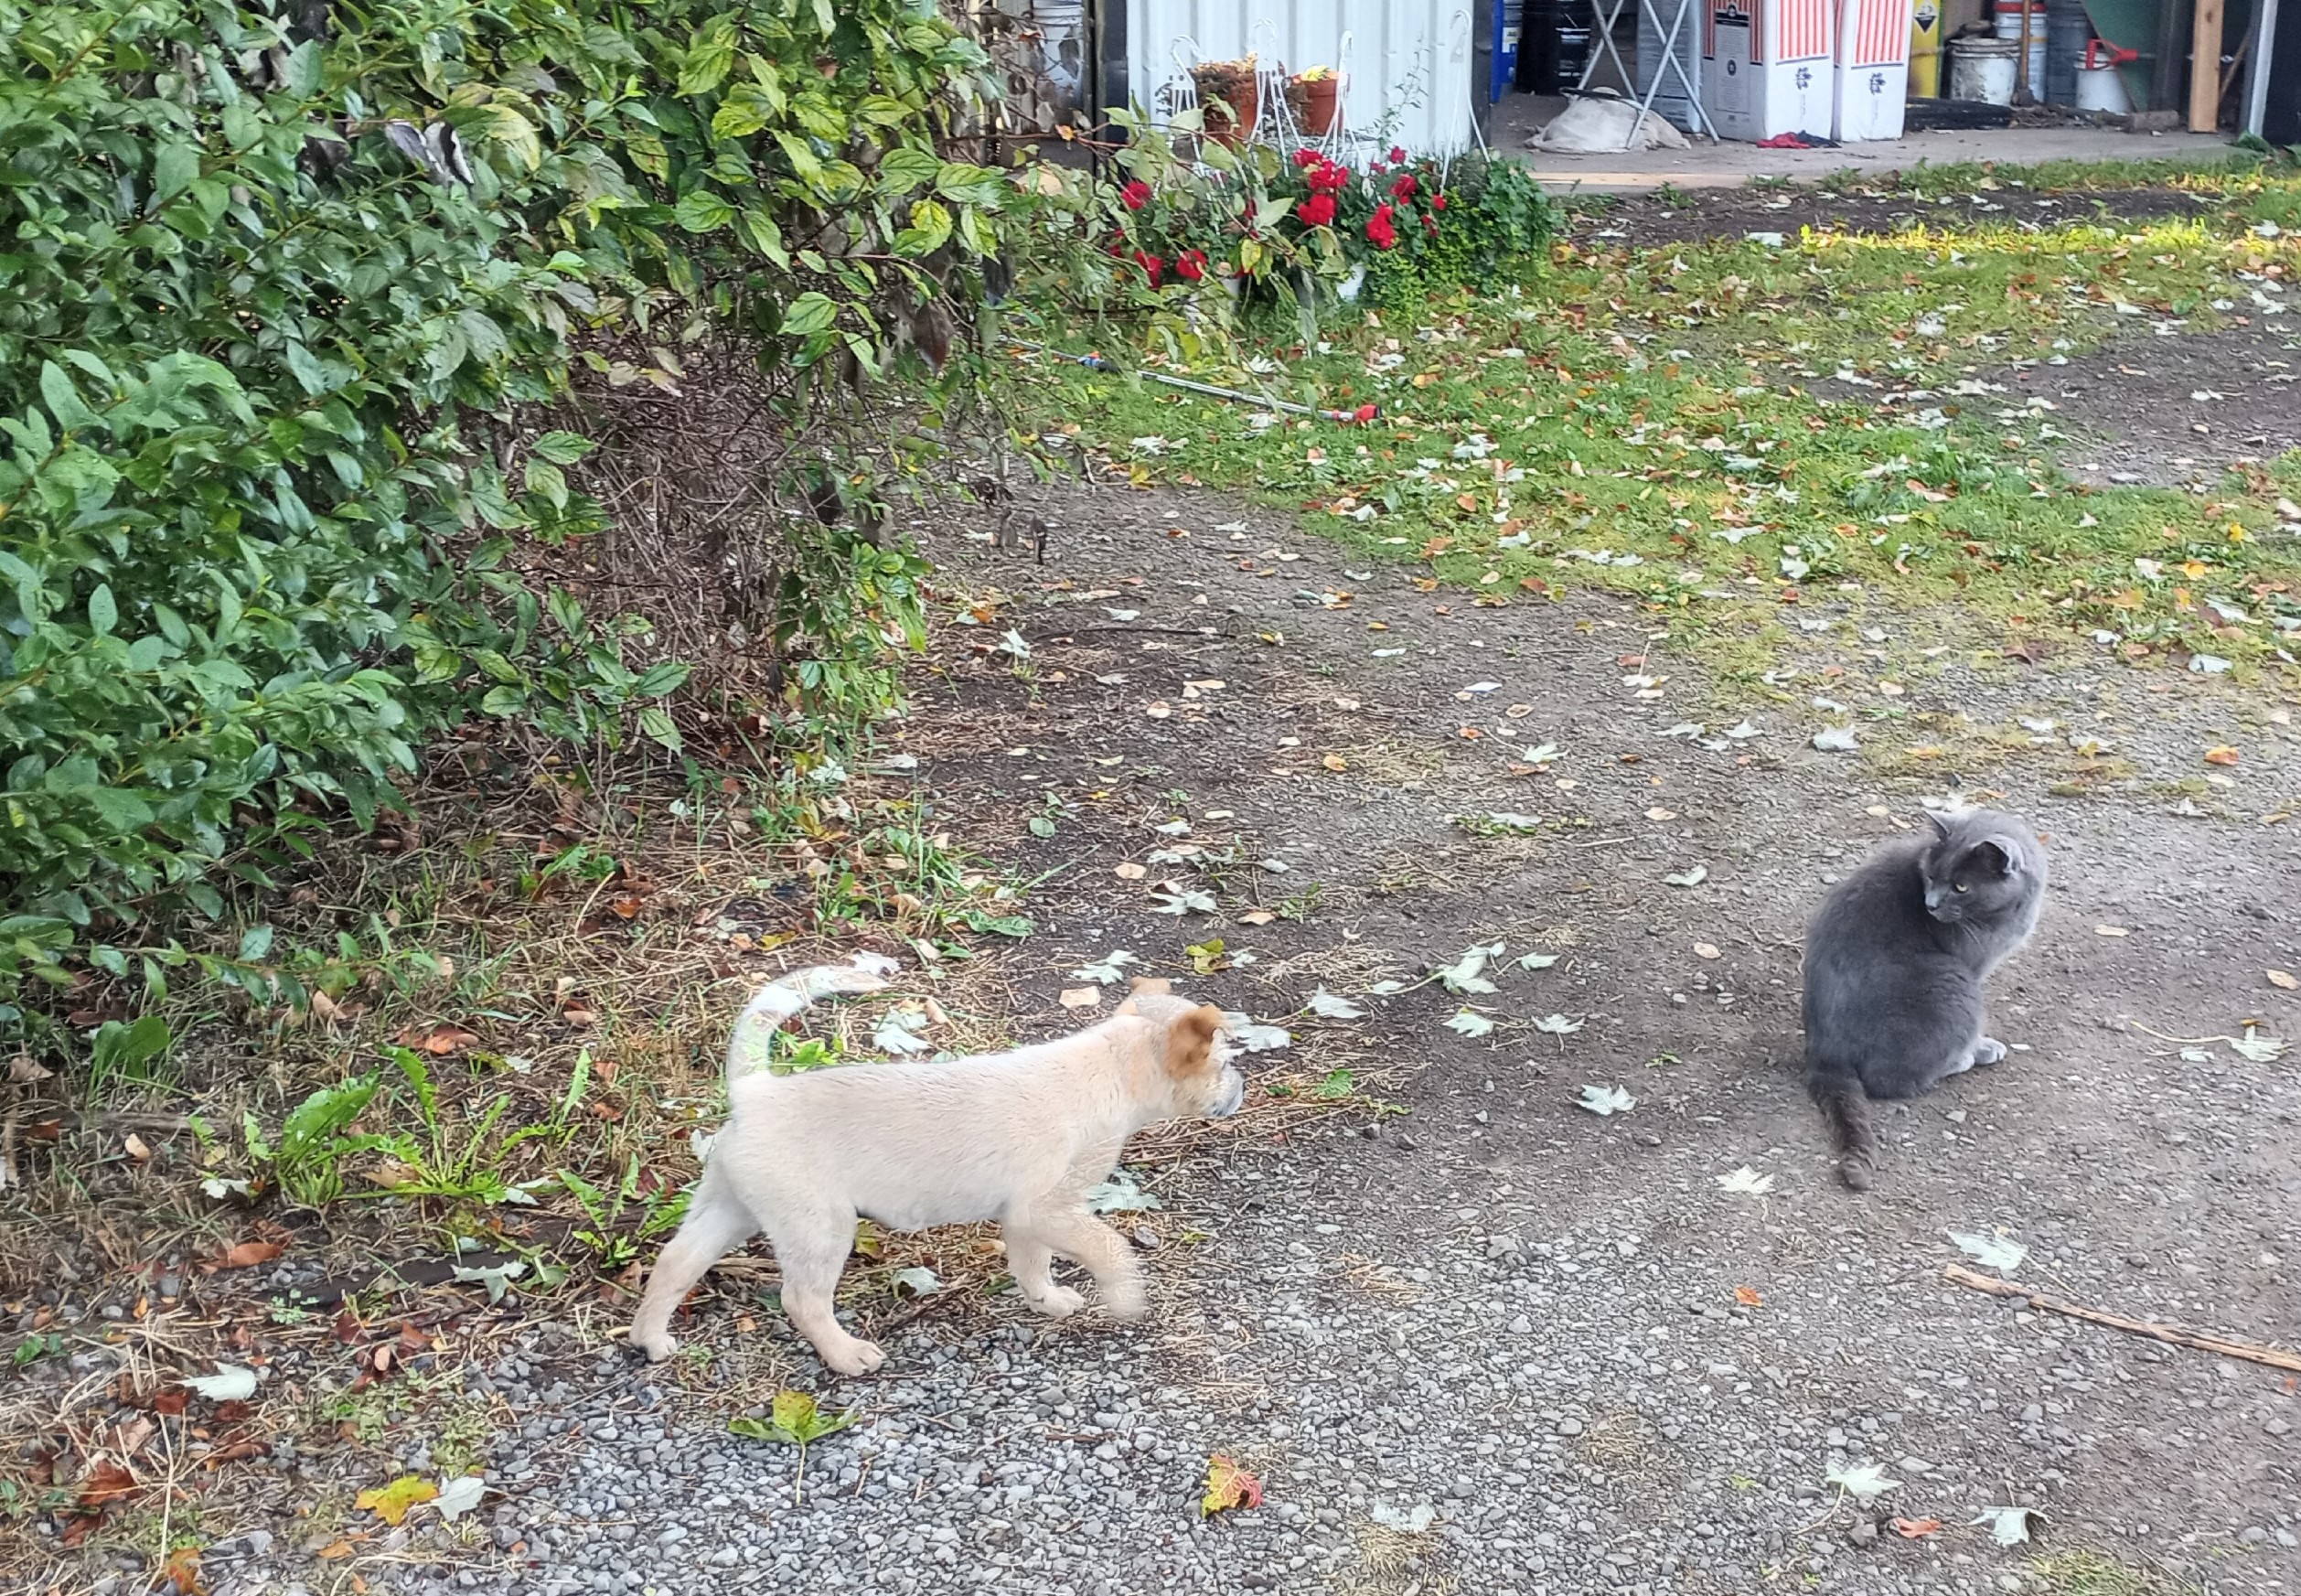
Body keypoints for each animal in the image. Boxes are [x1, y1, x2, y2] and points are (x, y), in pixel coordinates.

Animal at [628, 962, 1243, 1375]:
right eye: (1223, 1063)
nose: (1241, 1088)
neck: (1110, 1067)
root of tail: (754, 1092)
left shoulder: (1025, 1218)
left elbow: (1033, 1266)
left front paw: (1048, 1301)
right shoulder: (1049, 1208)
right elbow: (1108, 1246)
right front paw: (1125, 1299)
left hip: (728, 1208)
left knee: (674, 1263)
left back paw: (650, 1339)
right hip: (819, 1228)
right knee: (801, 1300)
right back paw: (846, 1355)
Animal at [1804, 807, 2048, 1190]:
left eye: (1961, 886)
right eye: (1931, 876)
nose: (1930, 904)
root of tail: (1825, 1054)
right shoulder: (1973, 966)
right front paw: (1982, 1047)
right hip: (1954, 985)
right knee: (1889, 1081)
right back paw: (1961, 1060)